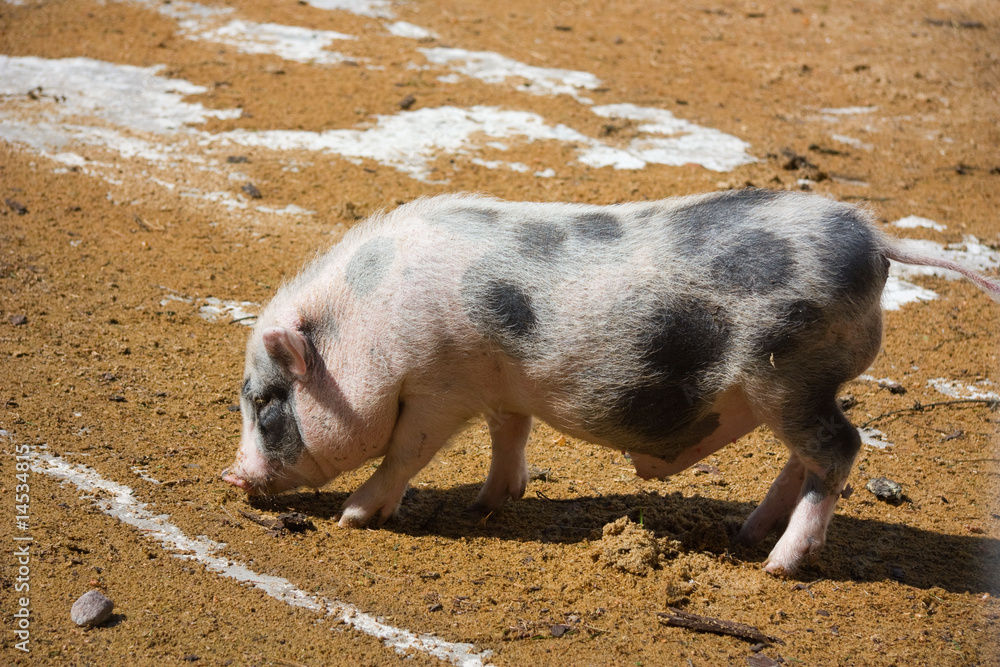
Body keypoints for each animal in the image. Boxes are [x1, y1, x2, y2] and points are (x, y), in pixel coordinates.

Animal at [222, 189, 1000, 575]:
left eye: (265, 401)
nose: (232, 476)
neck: (366, 327)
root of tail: (875, 240)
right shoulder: (499, 384)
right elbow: (511, 434)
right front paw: (488, 504)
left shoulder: (440, 386)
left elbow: (406, 453)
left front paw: (356, 516)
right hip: (793, 388)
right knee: (806, 457)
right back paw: (747, 534)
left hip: (791, 374)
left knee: (841, 447)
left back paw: (778, 565)